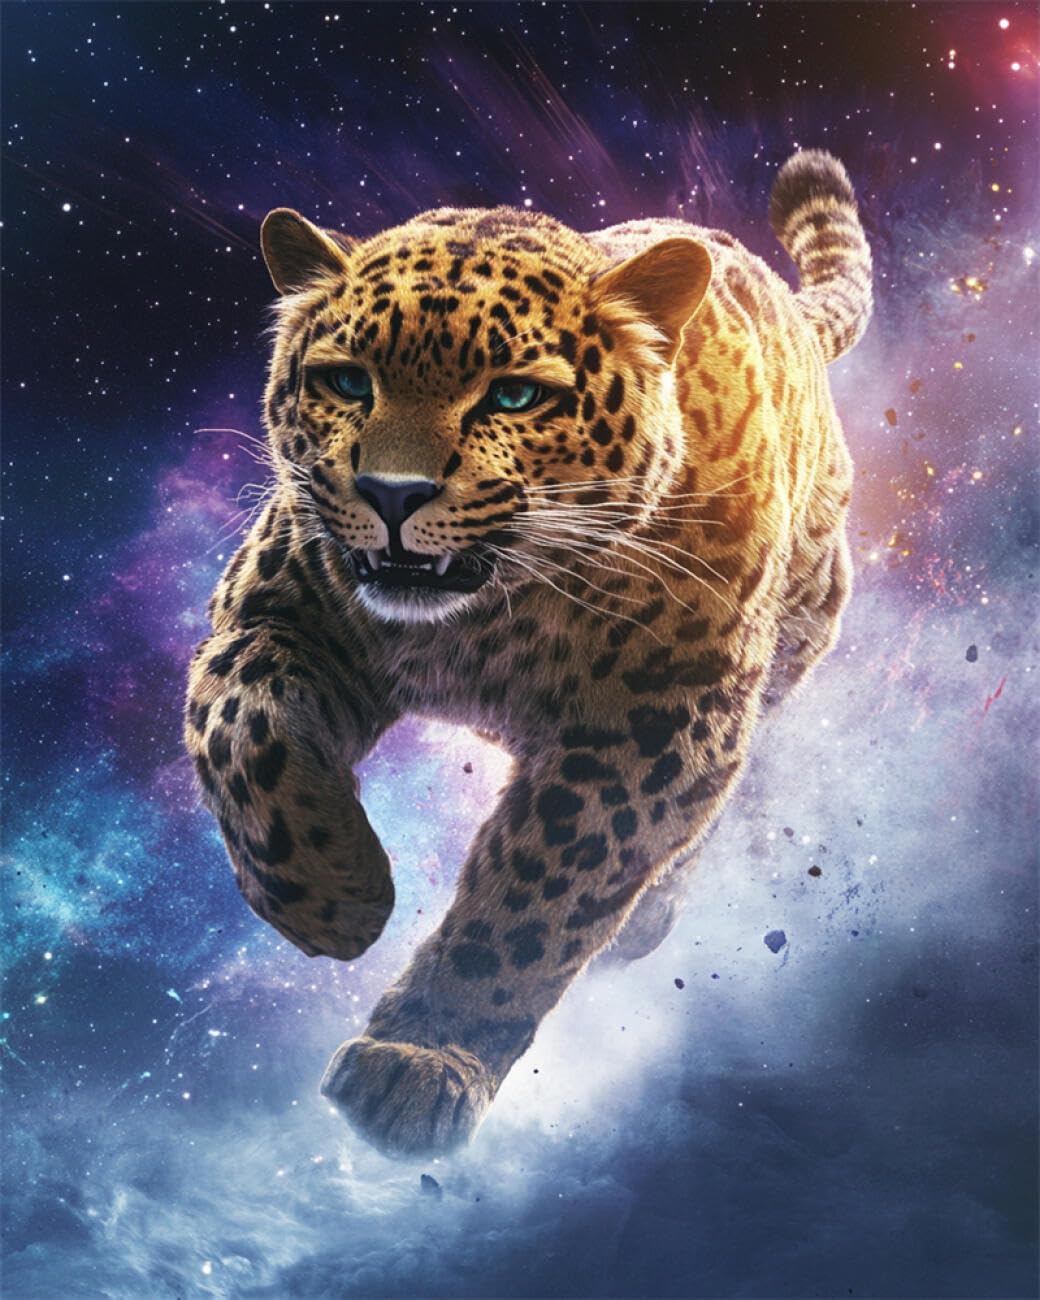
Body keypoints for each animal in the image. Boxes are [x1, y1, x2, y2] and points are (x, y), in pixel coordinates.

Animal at [184, 149, 872, 1157]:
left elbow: (536, 894)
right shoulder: (271, 612)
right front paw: (336, 901)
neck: (484, 621)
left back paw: (648, 916)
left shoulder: (657, 722)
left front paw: (419, 1063)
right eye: (348, 382)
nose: (393, 493)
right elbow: (242, 733)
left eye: (514, 394)